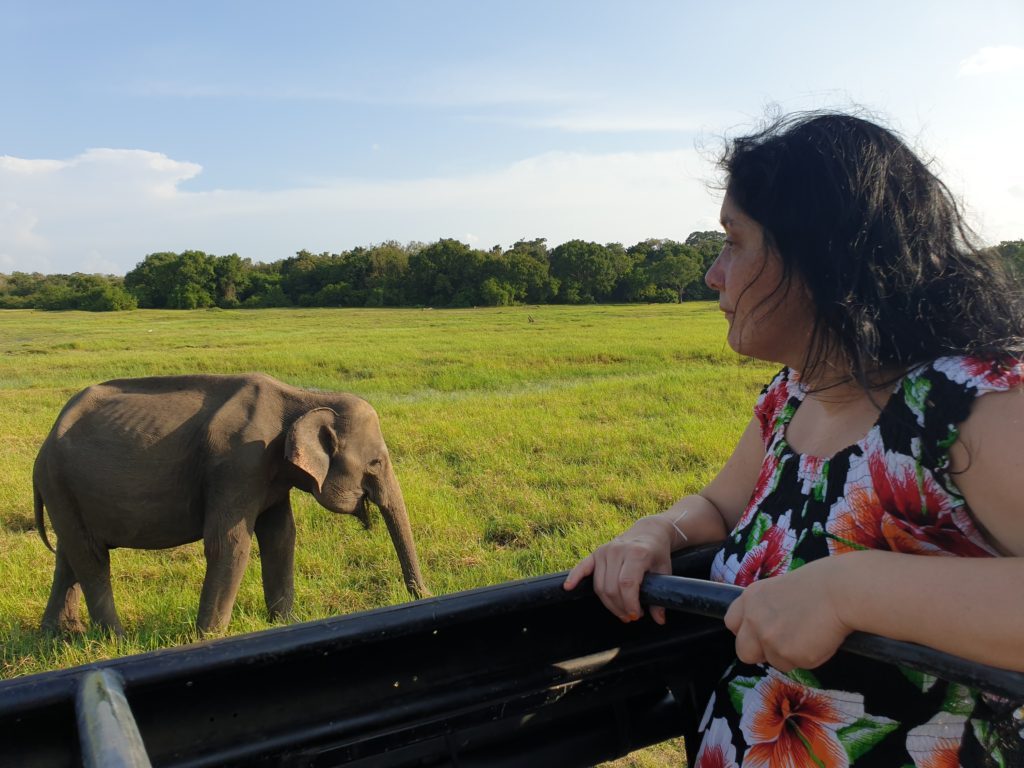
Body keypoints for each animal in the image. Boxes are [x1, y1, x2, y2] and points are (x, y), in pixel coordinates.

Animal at [30, 374, 423, 638]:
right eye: (375, 463)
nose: (420, 596)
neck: (302, 399)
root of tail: (44, 445)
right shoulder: (238, 463)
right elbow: (229, 543)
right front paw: (208, 638)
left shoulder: (269, 474)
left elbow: (281, 537)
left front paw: (286, 624)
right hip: (60, 482)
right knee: (91, 557)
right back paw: (117, 640)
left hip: (65, 491)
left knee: (70, 555)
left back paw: (58, 636)